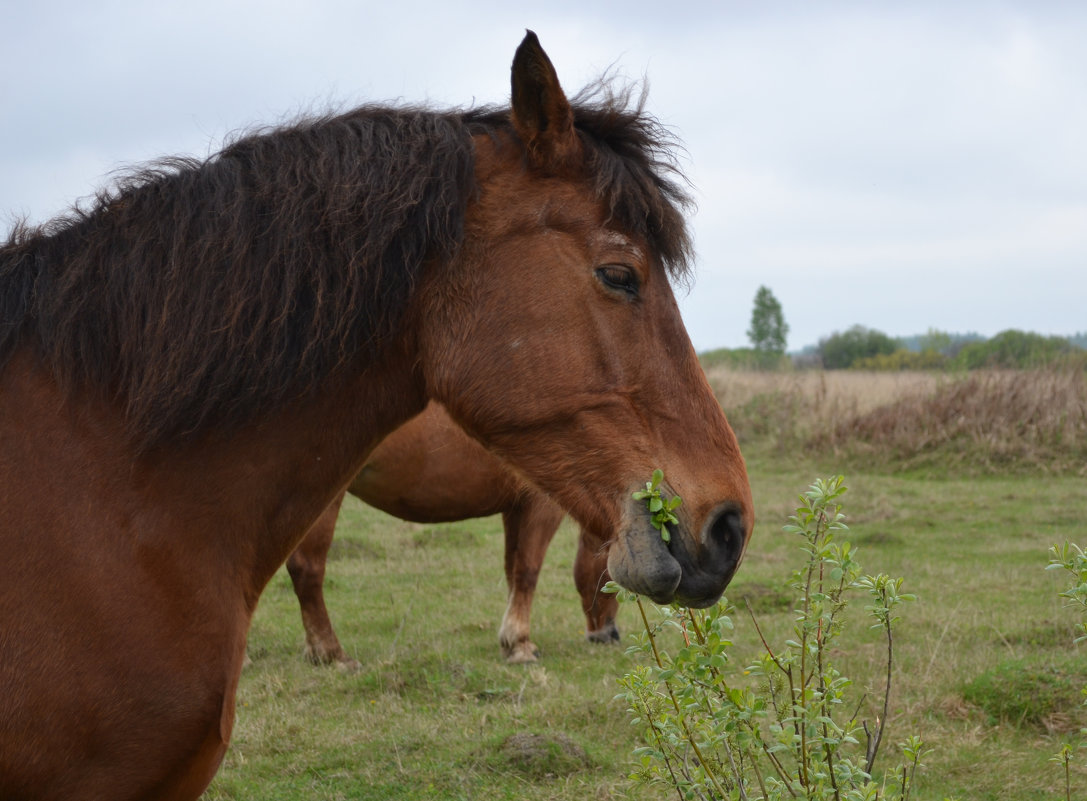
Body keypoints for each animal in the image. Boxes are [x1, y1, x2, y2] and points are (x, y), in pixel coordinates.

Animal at [284, 397, 617, 665]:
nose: (610, 634)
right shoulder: (540, 506)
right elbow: (527, 571)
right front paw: (520, 644)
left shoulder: (514, 509)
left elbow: (512, 571)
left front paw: (511, 641)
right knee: (307, 568)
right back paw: (330, 652)